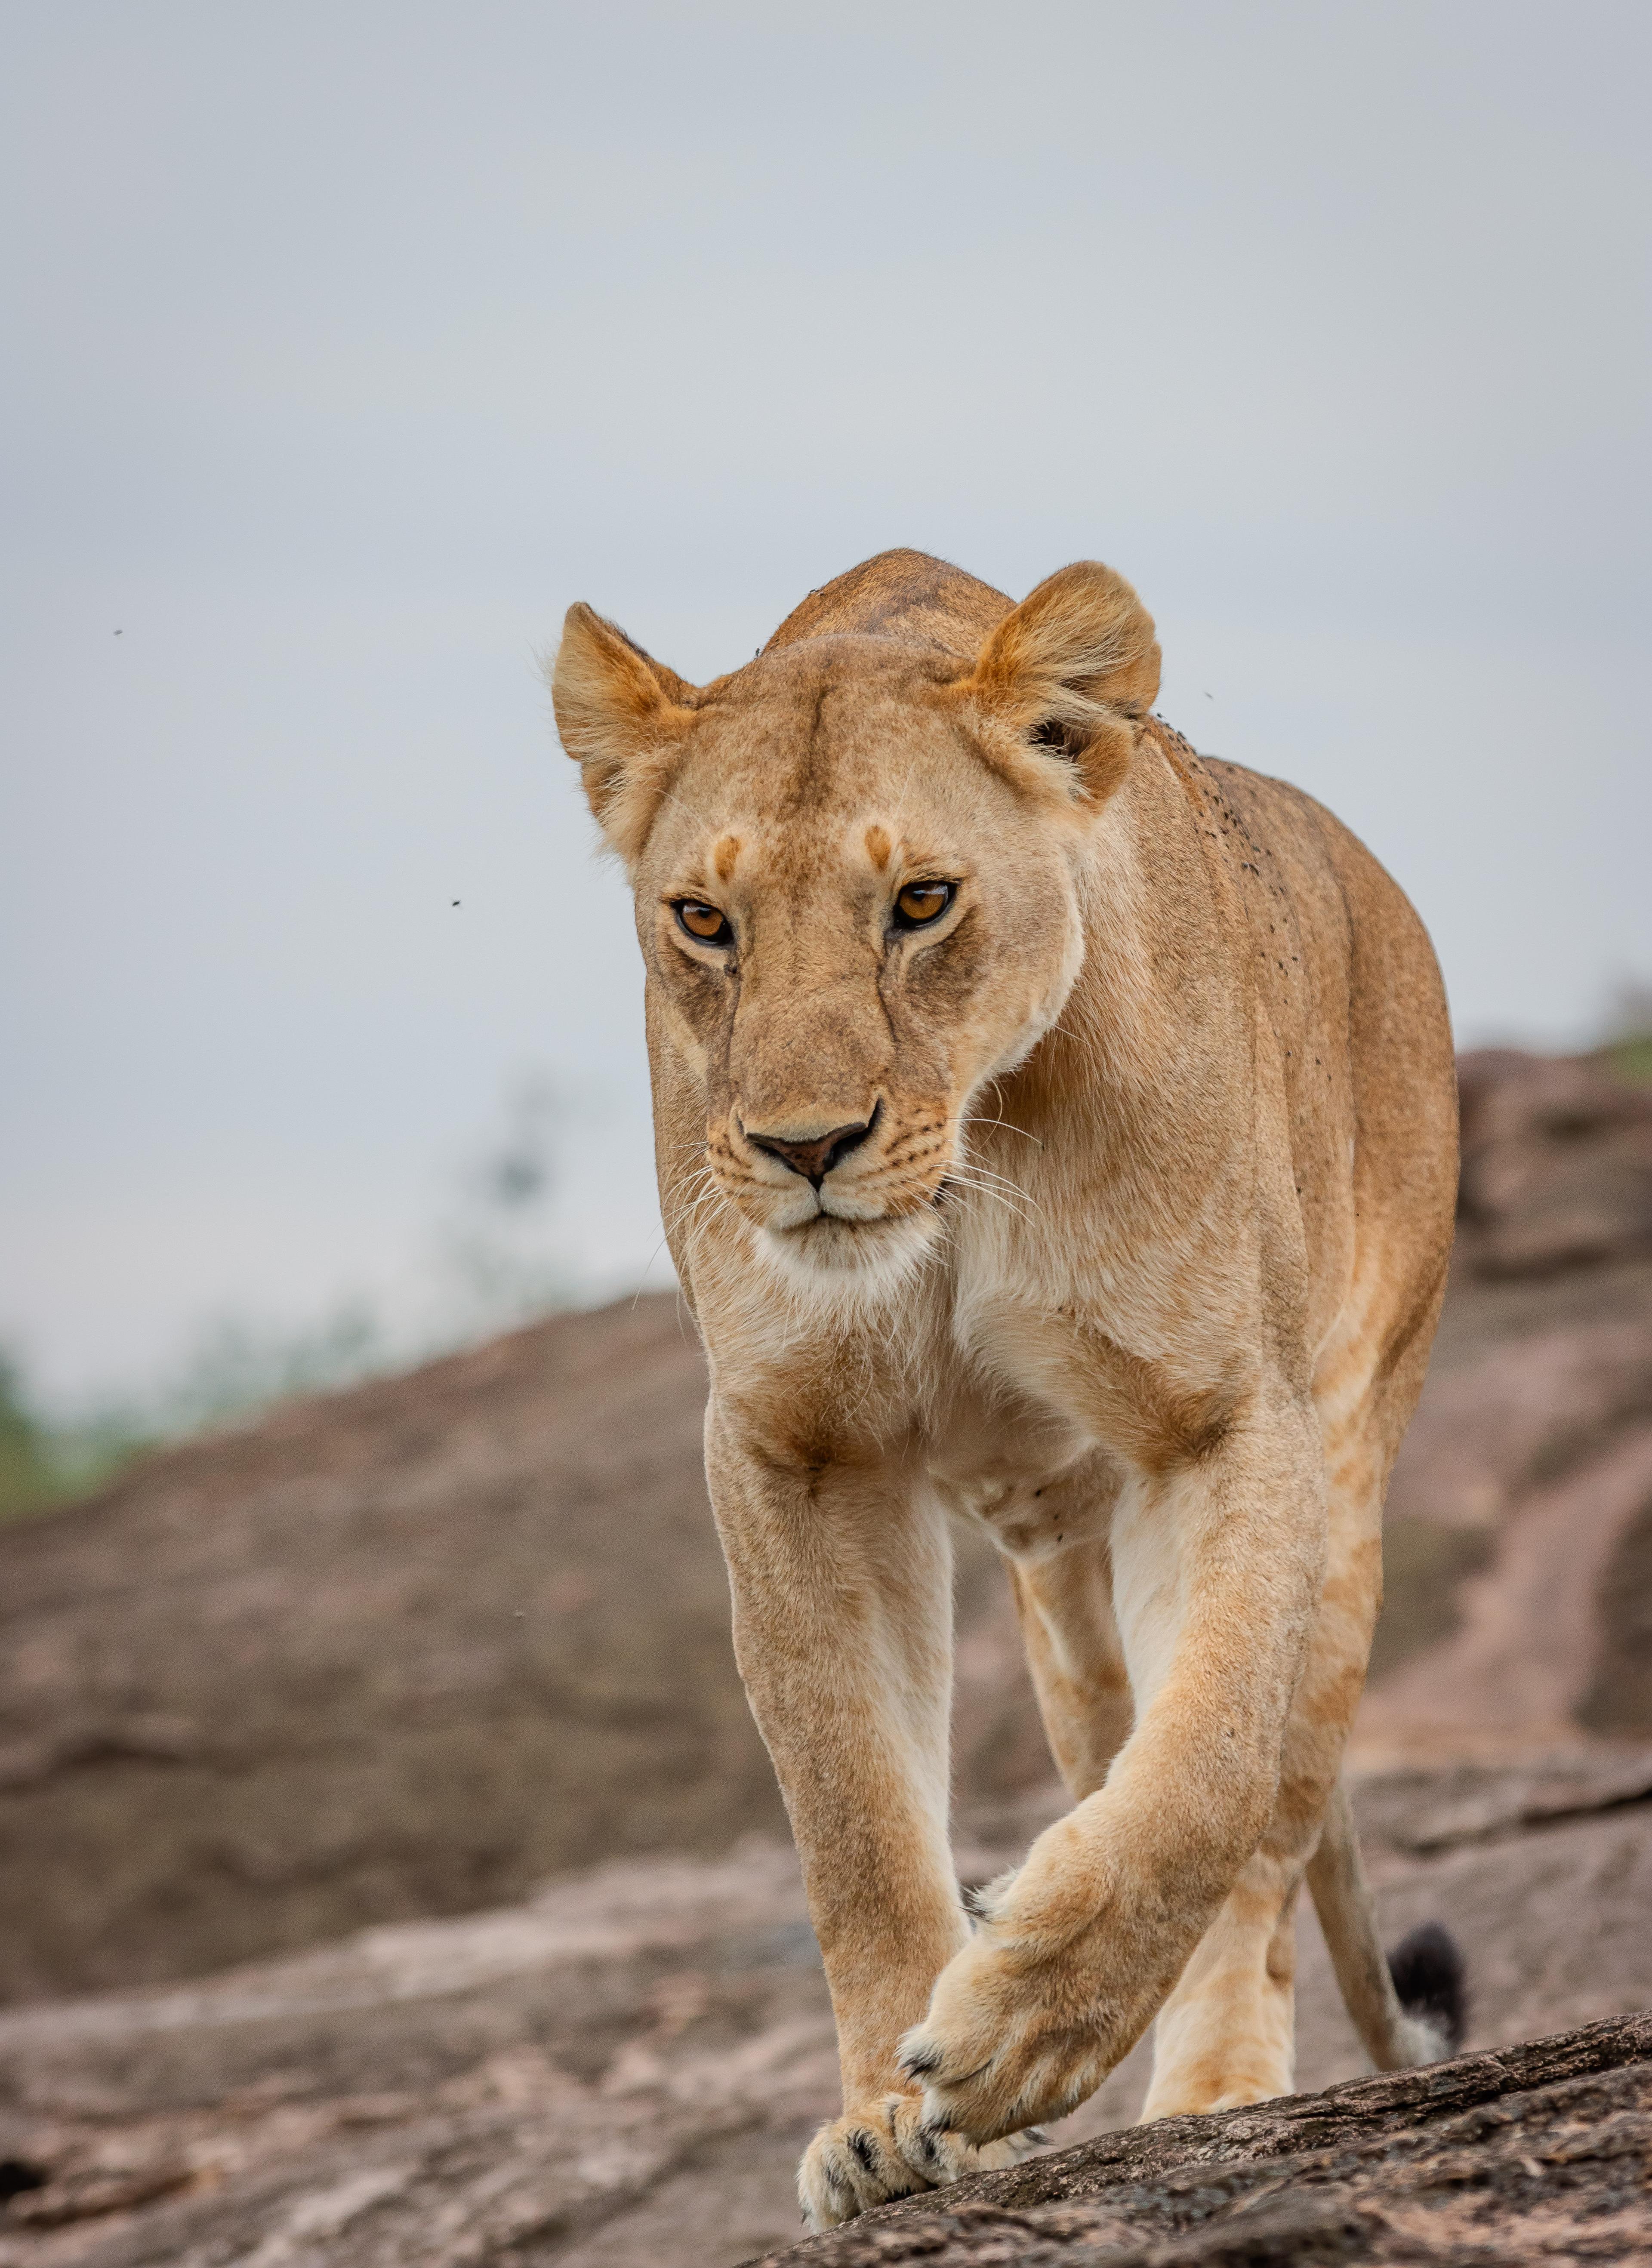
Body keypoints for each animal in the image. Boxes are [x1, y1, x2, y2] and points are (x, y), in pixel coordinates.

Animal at [550, 548, 1466, 2231]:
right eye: (703, 920)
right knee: (1112, 1742)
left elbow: (1206, 1769)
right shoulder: (797, 1447)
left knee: (1266, 1811)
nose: (804, 1147)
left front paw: (1025, 2026)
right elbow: (851, 1814)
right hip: (1064, 1613)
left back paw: (1215, 2085)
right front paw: (885, 2126)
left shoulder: (1223, 1420)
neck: (968, 1161)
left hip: (1351, 1470)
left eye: (922, 901)